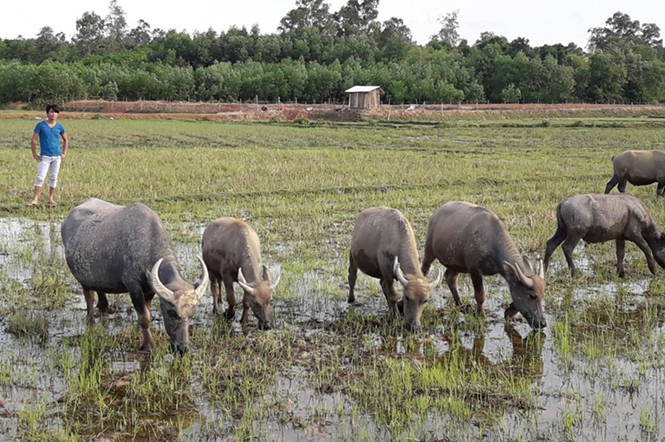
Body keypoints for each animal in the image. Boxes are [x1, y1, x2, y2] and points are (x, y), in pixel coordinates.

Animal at [62, 199, 209, 354]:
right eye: (171, 313)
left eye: (192, 314)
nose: (182, 348)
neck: (147, 243)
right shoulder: (133, 286)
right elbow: (144, 317)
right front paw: (148, 344)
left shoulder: (149, 289)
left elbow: (147, 311)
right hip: (82, 279)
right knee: (88, 297)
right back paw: (91, 322)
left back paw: (104, 306)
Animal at [420, 202, 544, 330]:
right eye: (532, 296)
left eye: (542, 296)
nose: (542, 323)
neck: (492, 241)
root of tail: (437, 213)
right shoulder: (474, 270)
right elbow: (480, 295)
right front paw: (481, 315)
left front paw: (509, 312)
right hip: (429, 252)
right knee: (424, 270)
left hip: (457, 264)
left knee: (450, 278)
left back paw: (460, 304)